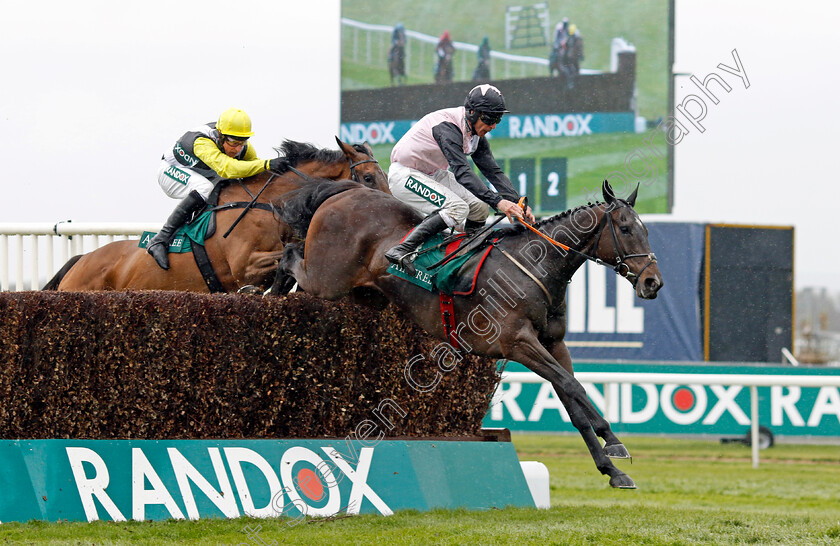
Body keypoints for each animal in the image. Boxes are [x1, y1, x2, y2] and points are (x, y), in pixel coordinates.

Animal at [45, 138, 388, 294]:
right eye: (368, 178)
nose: (389, 211)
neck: (268, 206)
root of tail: (81, 260)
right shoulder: (243, 266)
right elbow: (284, 257)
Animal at [274, 177, 664, 484]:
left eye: (647, 230)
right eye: (626, 229)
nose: (653, 282)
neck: (536, 266)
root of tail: (347, 191)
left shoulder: (554, 343)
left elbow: (572, 401)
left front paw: (612, 470)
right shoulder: (517, 343)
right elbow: (574, 386)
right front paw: (613, 441)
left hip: (362, 295)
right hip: (327, 279)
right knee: (289, 255)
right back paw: (269, 295)